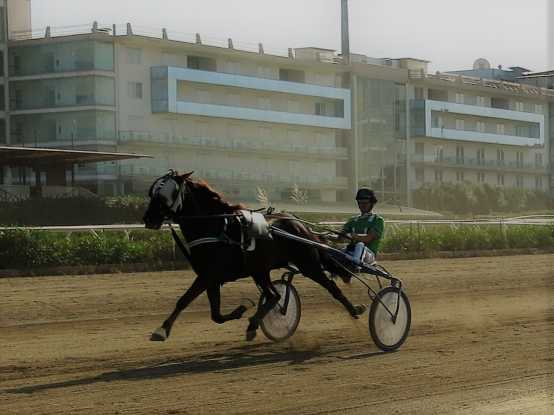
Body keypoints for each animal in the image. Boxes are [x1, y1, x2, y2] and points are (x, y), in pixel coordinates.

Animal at [143, 171, 366, 342]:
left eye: (165, 195)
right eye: (151, 193)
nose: (148, 219)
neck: (216, 228)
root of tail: (299, 225)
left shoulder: (208, 275)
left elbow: (184, 300)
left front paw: (161, 330)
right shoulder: (212, 278)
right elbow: (216, 315)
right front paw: (242, 309)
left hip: (307, 264)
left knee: (330, 287)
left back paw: (355, 310)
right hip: (260, 269)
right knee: (274, 295)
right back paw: (253, 324)